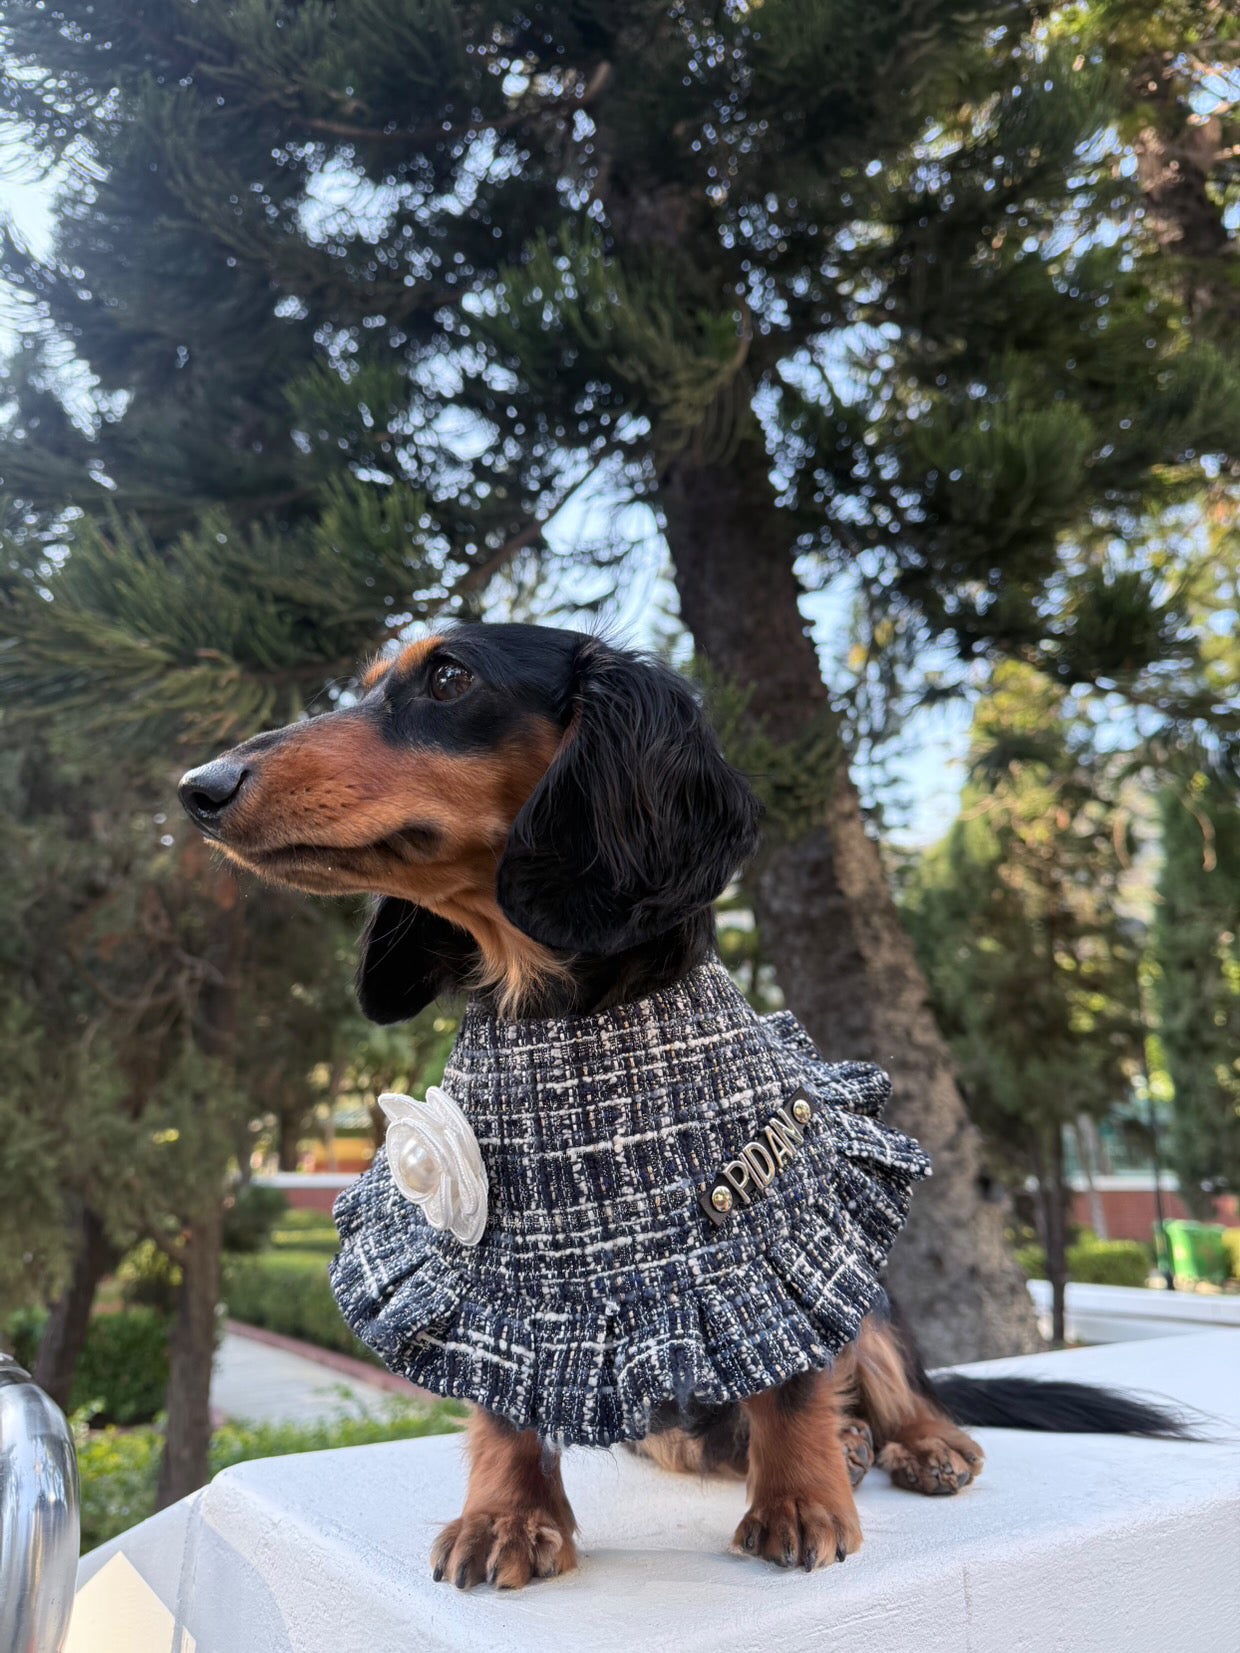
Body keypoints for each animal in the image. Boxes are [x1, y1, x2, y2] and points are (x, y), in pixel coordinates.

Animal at [179, 621, 1190, 1586]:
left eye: (449, 677)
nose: (200, 786)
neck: (559, 1011)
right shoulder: (486, 1275)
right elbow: (504, 1403)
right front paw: (506, 1517)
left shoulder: (773, 1236)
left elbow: (793, 1373)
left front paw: (798, 1502)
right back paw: (841, 1439)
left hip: (865, 1277)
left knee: (889, 1368)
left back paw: (916, 1441)